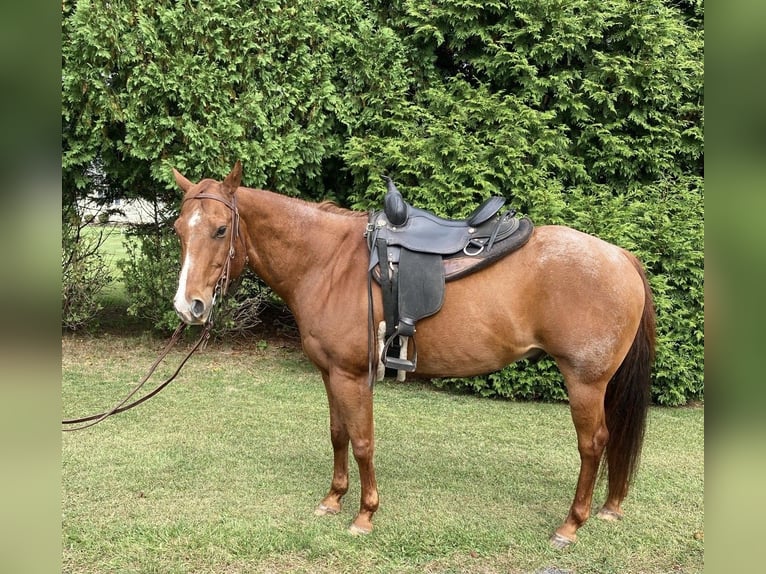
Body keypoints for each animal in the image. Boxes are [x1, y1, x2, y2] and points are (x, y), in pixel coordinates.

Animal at [171, 161, 655, 548]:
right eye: (179, 230)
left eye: (220, 229)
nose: (188, 306)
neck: (328, 263)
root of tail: (621, 256)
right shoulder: (330, 373)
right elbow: (338, 434)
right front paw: (333, 499)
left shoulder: (353, 376)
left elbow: (362, 441)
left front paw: (365, 513)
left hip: (585, 382)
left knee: (593, 444)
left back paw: (571, 525)